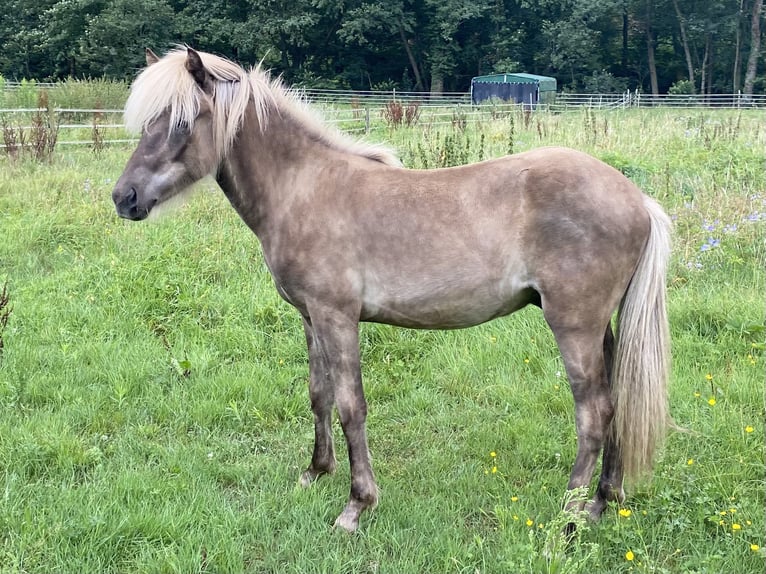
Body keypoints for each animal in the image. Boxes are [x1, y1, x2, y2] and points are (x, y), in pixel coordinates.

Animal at [112, 47, 672, 532]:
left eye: (183, 123)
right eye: (148, 122)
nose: (124, 197)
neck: (303, 189)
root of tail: (637, 199)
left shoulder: (338, 317)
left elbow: (350, 406)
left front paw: (356, 506)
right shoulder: (310, 317)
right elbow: (318, 395)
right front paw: (315, 471)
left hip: (574, 326)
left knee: (594, 413)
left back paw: (570, 516)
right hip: (602, 329)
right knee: (617, 402)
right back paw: (603, 501)